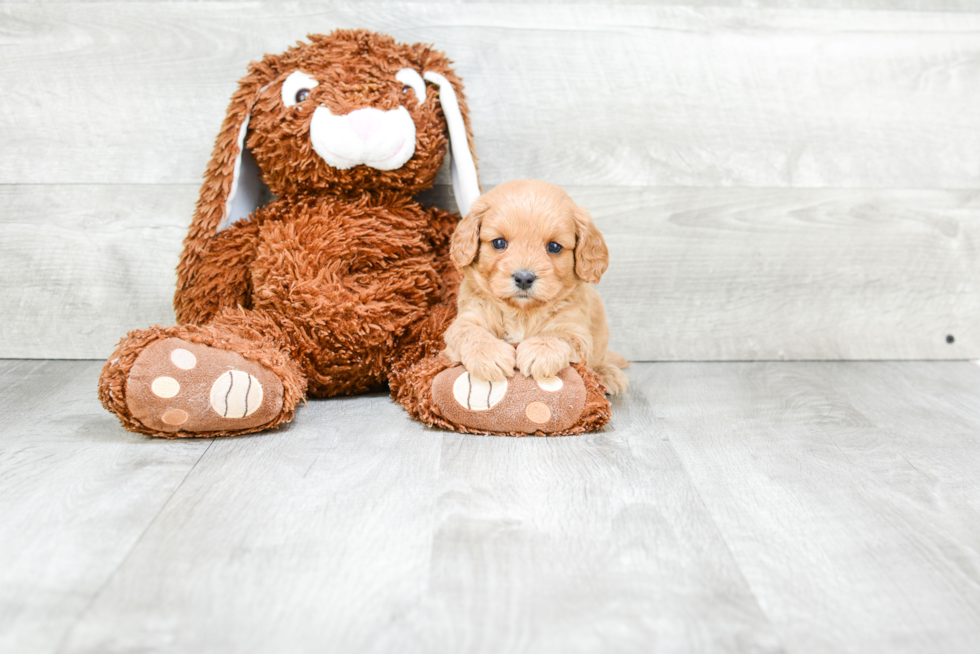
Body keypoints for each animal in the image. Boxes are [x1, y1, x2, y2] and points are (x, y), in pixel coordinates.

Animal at [444, 178, 628, 394]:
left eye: (554, 247)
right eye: (499, 243)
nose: (524, 278)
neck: (522, 313)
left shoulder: (576, 329)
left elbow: (557, 335)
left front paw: (539, 352)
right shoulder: (467, 318)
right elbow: (470, 332)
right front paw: (490, 355)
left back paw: (608, 373)